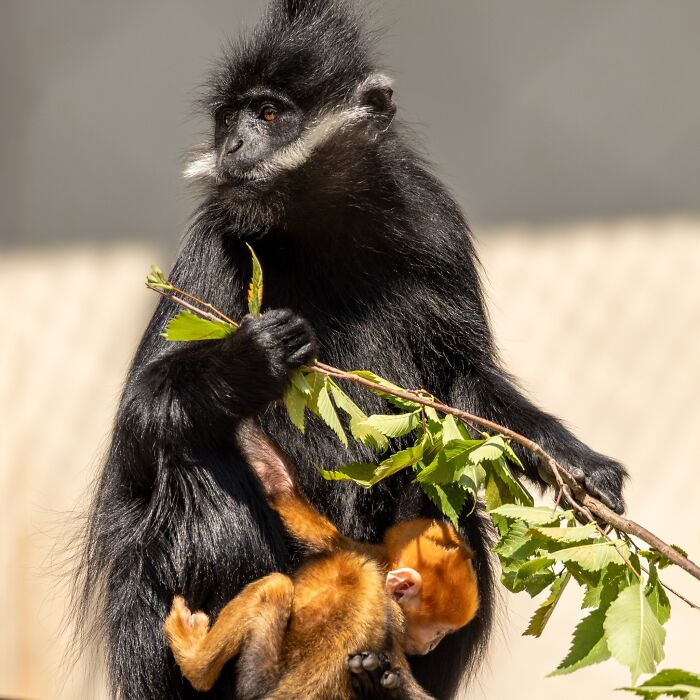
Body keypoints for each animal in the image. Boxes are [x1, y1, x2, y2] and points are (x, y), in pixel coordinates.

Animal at [162, 423, 479, 699]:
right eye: (439, 632)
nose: (433, 644)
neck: (382, 573)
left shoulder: (353, 552)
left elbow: (282, 492)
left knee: (275, 586)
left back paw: (195, 665)